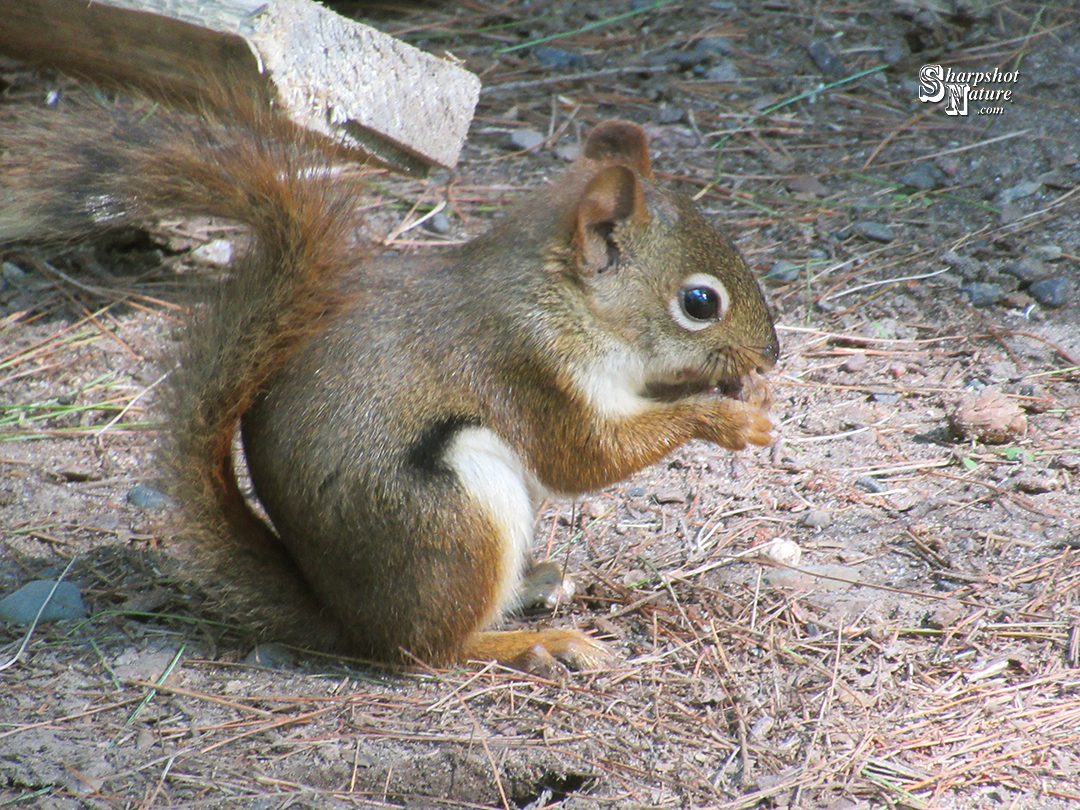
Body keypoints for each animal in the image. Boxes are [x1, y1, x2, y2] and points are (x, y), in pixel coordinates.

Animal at [1, 90, 779, 672]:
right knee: (431, 650)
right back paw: (531, 642)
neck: (560, 298)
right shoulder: (527, 369)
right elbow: (585, 458)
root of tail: (347, 620)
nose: (771, 354)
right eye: (699, 302)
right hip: (454, 513)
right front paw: (726, 418)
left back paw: (537, 585)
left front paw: (744, 395)